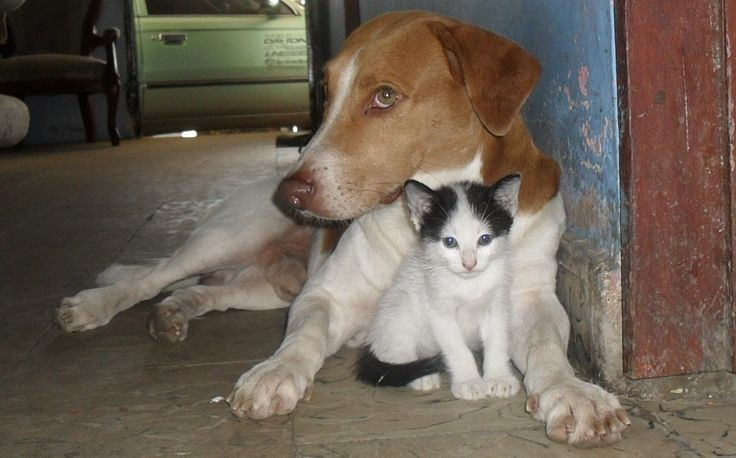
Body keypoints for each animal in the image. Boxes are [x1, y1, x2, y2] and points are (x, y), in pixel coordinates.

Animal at [358, 175, 520, 400]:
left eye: (485, 239)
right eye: (449, 242)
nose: (469, 263)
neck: (469, 284)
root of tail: (371, 340)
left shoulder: (497, 304)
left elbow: (497, 340)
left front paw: (498, 378)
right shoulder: (438, 310)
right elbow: (457, 348)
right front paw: (469, 382)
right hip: (398, 309)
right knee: (396, 347)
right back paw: (421, 375)